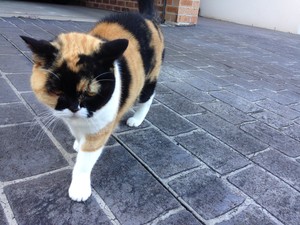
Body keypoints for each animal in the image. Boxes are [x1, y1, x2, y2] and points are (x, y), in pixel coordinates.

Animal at [20, 0, 164, 201]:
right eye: (57, 91)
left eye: (89, 92)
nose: (74, 107)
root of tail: (146, 17)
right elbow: (77, 134)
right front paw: (78, 142)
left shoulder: (100, 129)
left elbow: (85, 160)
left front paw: (79, 188)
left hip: (149, 78)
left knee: (148, 97)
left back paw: (137, 119)